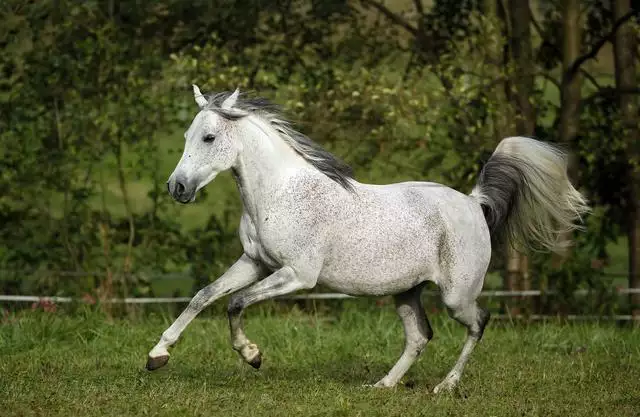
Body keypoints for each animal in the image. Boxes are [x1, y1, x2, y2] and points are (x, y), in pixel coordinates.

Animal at [146, 86, 592, 392]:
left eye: (208, 138)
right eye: (186, 136)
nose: (177, 187)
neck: (279, 192)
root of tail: (473, 202)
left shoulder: (297, 275)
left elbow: (236, 303)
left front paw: (252, 356)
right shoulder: (254, 262)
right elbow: (204, 296)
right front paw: (157, 355)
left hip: (456, 296)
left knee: (479, 323)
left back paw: (445, 386)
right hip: (406, 291)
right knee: (419, 336)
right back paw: (382, 385)